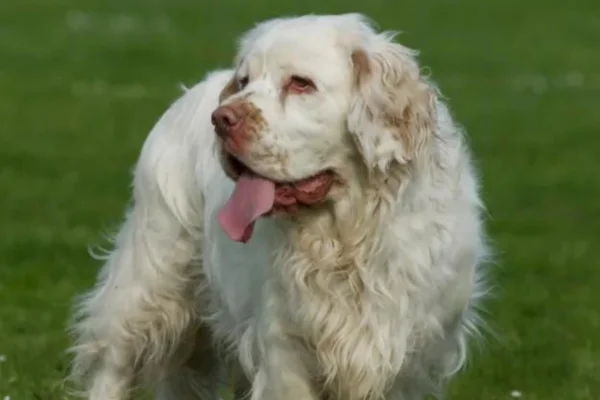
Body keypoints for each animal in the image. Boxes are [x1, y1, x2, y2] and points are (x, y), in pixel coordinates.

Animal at [68, 12, 490, 400]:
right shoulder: (284, 348)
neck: (347, 236)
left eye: (301, 83)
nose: (221, 119)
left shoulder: (406, 359)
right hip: (149, 279)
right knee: (114, 362)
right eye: (243, 82)